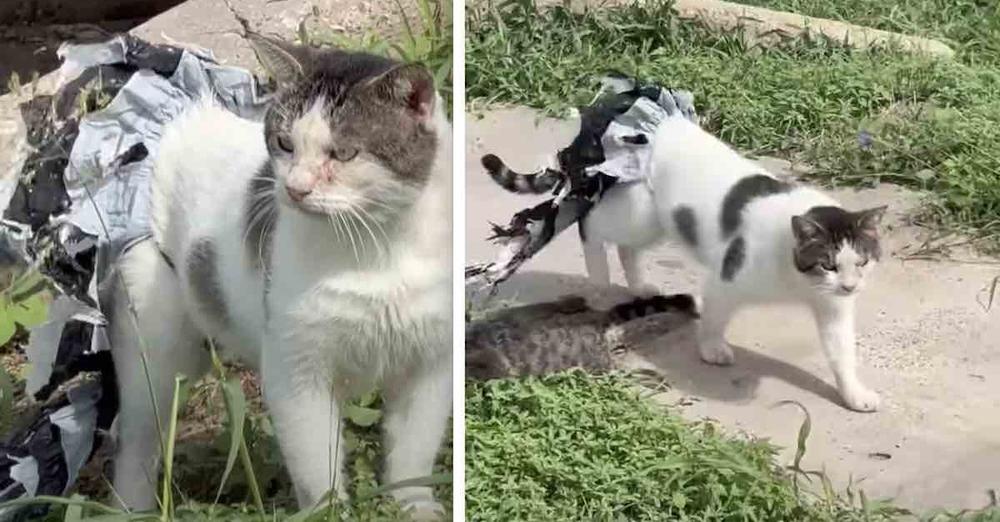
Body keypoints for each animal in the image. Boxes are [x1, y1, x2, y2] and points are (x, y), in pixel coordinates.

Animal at [108, 33, 450, 516]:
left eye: (344, 152)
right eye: (285, 143)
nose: (295, 188)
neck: (379, 247)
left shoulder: (432, 363)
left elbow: (413, 456)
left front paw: (415, 507)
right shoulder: (295, 370)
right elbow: (318, 468)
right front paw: (328, 513)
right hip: (153, 350)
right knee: (136, 440)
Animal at [488, 112, 888, 410]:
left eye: (862, 262)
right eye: (828, 264)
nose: (850, 286)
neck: (797, 278)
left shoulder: (832, 306)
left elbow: (841, 351)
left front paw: (854, 394)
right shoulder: (727, 277)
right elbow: (714, 315)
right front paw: (711, 348)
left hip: (653, 221)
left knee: (627, 248)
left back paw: (639, 285)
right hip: (639, 212)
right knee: (590, 224)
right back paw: (599, 279)